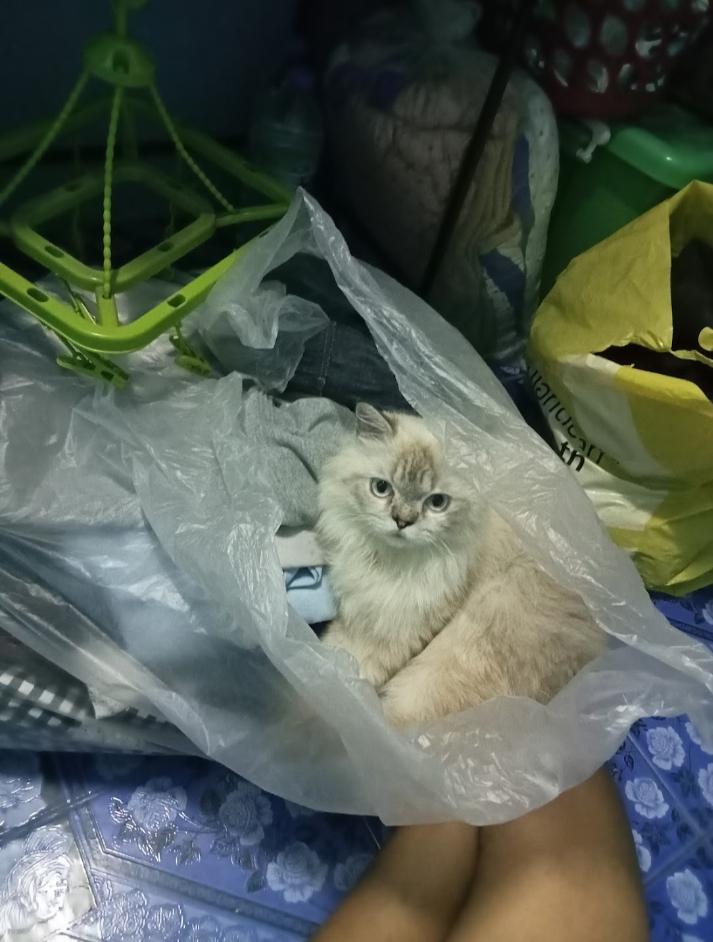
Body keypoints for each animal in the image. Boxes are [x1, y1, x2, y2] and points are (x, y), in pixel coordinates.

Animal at [317, 403, 606, 727]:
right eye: (381, 488)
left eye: (437, 503)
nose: (402, 521)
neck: (391, 563)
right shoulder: (357, 616)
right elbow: (337, 648)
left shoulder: (397, 632)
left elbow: (357, 665)